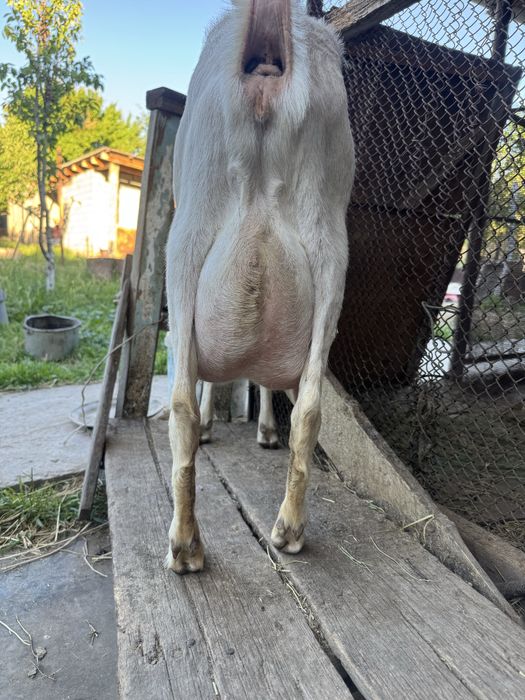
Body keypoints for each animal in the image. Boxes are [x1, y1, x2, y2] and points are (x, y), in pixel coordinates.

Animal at [166, 0, 354, 573]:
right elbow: (265, 383)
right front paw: (267, 429)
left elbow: (212, 384)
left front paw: (221, 422)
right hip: (329, 251)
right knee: (311, 406)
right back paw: (289, 529)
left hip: (185, 241)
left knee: (180, 402)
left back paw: (185, 547)